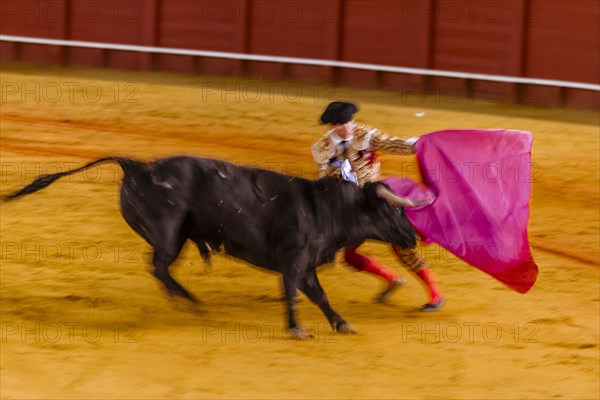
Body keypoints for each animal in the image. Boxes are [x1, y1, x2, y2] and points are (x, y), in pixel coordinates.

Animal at [7, 155, 418, 338]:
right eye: (392, 209)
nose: (413, 237)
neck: (327, 208)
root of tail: (137, 166)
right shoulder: (296, 261)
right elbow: (298, 293)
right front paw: (297, 328)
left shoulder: (305, 265)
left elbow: (318, 295)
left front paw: (340, 323)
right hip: (168, 231)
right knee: (158, 265)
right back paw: (192, 303)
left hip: (176, 236)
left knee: (160, 268)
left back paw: (184, 300)